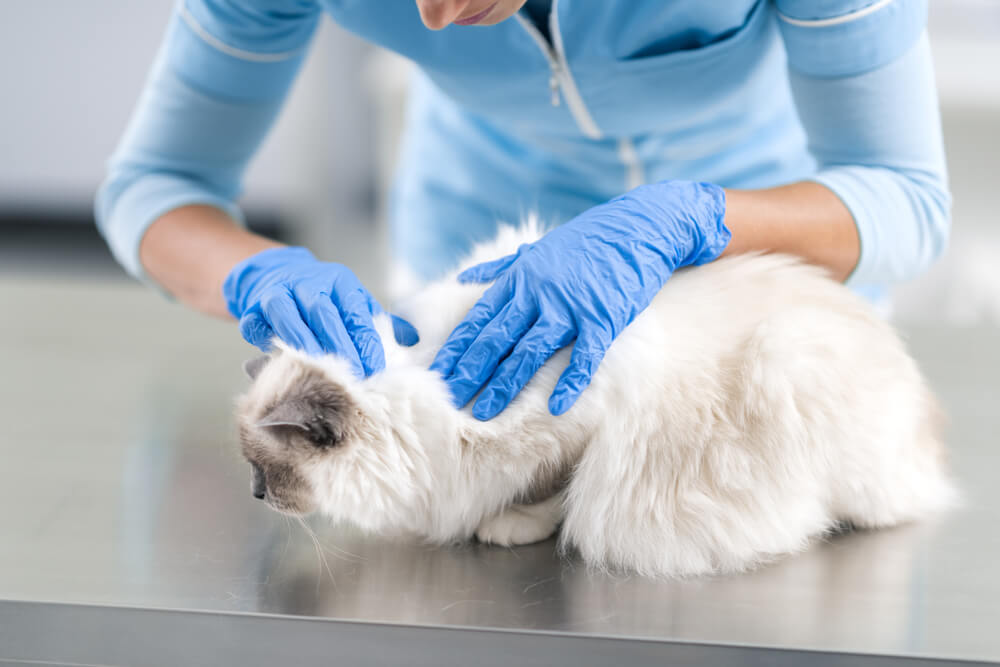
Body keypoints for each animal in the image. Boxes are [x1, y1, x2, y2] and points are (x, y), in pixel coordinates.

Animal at [238, 222, 956, 576]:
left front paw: (506, 525)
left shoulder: (579, 423)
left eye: (266, 470)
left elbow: (553, 490)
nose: (254, 496)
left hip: (790, 357)